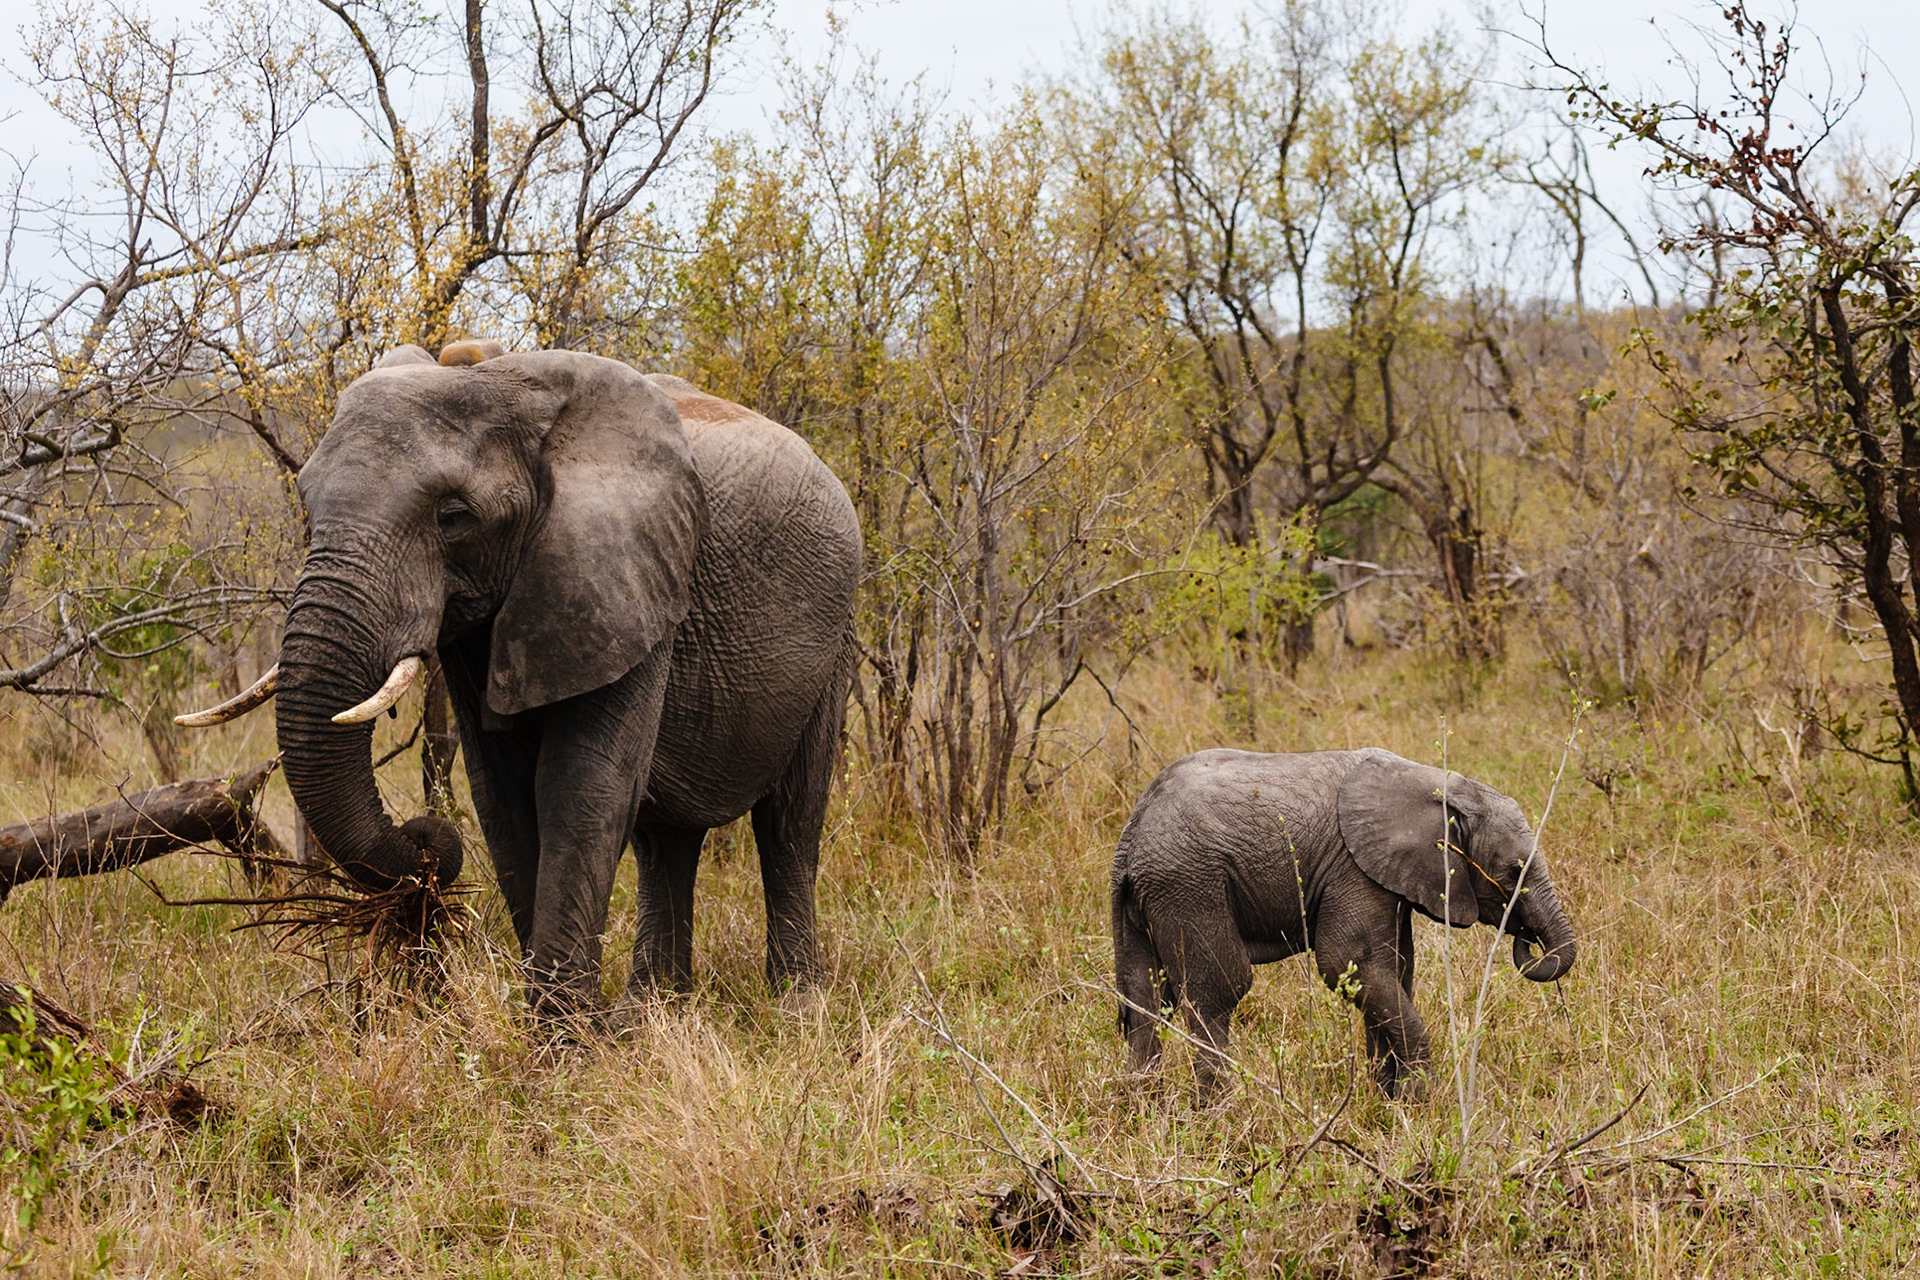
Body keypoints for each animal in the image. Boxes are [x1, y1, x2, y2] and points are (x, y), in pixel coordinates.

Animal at [178, 341, 862, 1016]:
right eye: (306, 503)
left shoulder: (626, 583)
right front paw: (565, 1028)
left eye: (455, 518)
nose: (422, 838)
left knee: (789, 820)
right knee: (666, 839)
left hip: (836, 634)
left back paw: (796, 1007)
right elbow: (501, 794)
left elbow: (582, 787)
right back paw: (652, 1014)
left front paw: (563, 1039)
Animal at [1110, 747, 1576, 1098]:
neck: (1436, 783)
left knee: (1145, 998)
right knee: (1219, 989)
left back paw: (1145, 1107)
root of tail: (1131, 837)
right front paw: (1419, 1100)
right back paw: (1220, 1110)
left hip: (1151, 895)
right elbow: (1348, 964)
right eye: (1514, 872)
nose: (1526, 938)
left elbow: (1393, 971)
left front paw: (1388, 1100)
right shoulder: (1354, 869)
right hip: (1189, 881)